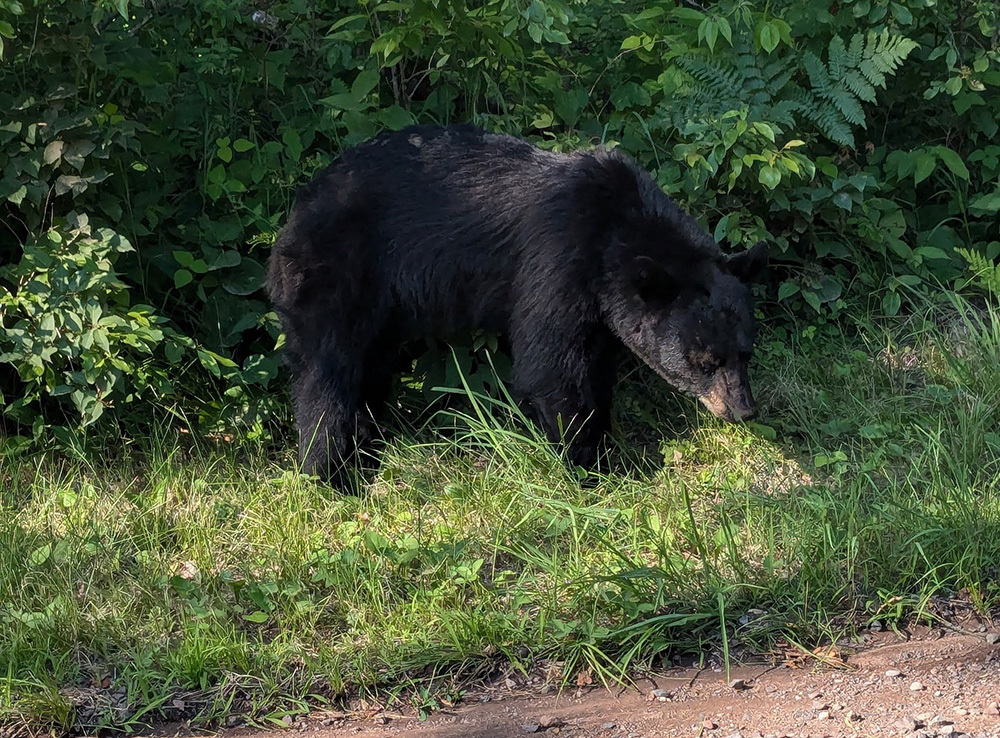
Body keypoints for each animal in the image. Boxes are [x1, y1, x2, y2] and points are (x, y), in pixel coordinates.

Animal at [266, 123, 768, 483]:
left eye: (745, 353)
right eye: (704, 361)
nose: (743, 410)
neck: (613, 232)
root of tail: (298, 208)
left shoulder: (602, 309)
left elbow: (597, 363)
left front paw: (603, 439)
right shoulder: (555, 261)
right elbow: (551, 364)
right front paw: (586, 463)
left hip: (382, 309)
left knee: (370, 368)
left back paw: (369, 446)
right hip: (336, 270)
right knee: (328, 371)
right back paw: (329, 471)